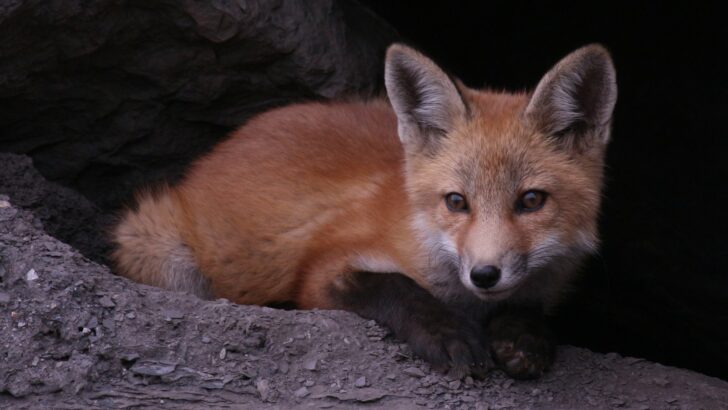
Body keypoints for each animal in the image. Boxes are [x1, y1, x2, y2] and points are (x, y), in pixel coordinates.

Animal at [113, 43, 617, 379]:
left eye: (531, 201)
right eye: (456, 202)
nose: (485, 275)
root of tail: (224, 147)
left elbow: (529, 309)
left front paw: (524, 338)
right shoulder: (321, 270)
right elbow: (393, 286)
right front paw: (446, 333)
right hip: (155, 246)